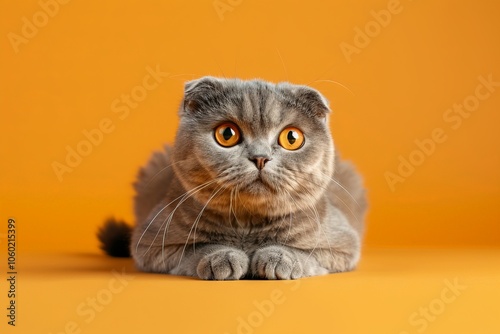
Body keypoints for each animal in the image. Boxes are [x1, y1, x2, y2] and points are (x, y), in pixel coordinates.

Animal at [97, 75, 368, 280]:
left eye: (292, 138)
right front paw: (222, 257)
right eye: (227, 134)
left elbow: (306, 253)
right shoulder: (151, 244)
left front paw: (279, 258)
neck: (247, 226)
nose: (260, 157)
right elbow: (195, 248)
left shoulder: (343, 244)